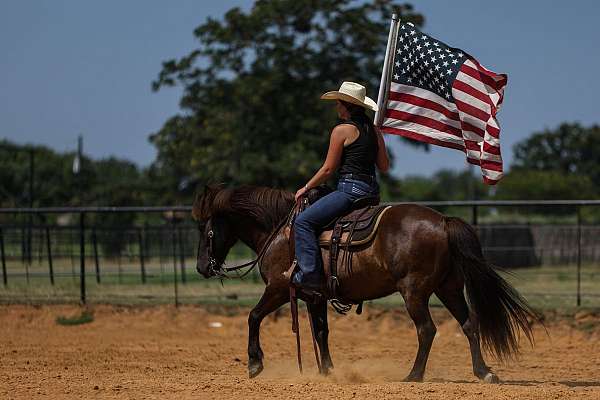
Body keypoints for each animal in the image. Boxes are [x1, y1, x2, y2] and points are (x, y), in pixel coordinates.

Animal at [193, 183, 540, 382]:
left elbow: (253, 316)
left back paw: (413, 375)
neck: (280, 231)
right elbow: (321, 332)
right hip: (449, 288)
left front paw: (254, 364)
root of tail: (443, 220)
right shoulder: (314, 296)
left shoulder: (278, 289)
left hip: (414, 292)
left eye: (206, 230)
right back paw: (484, 372)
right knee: (469, 324)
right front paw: (327, 371)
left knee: (427, 330)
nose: (201, 267)